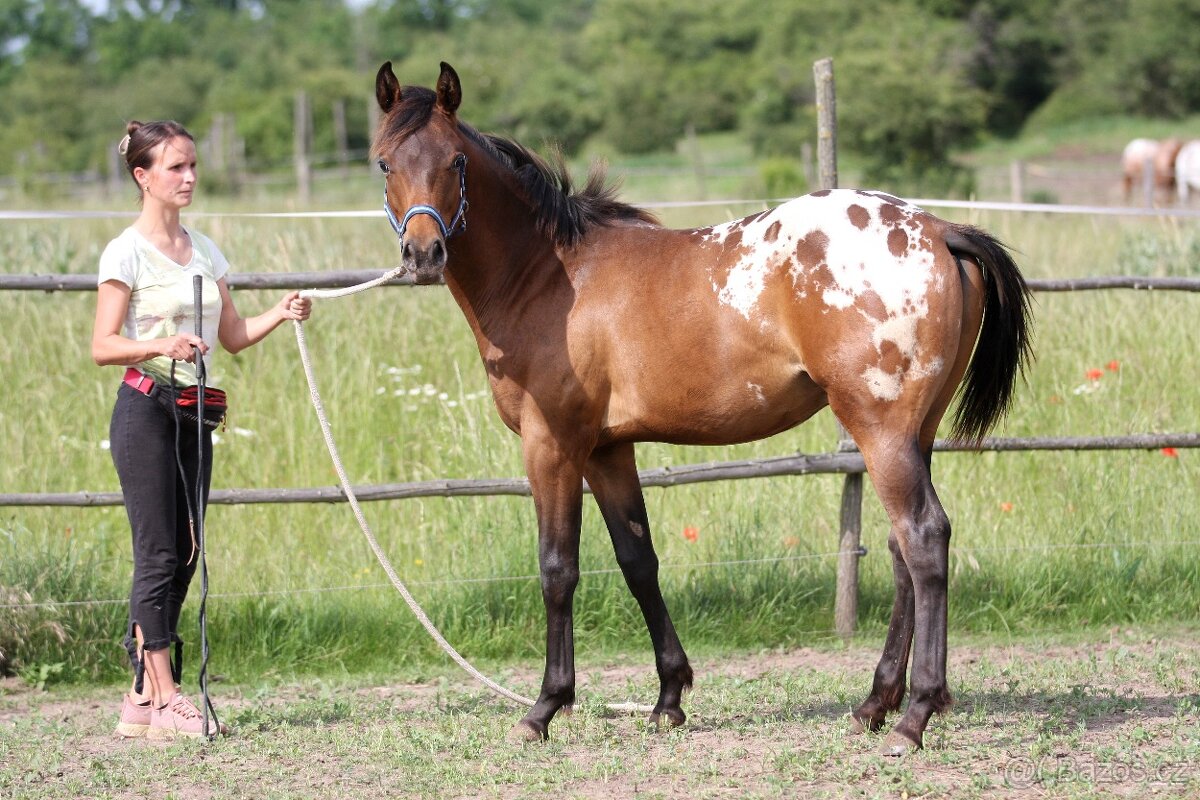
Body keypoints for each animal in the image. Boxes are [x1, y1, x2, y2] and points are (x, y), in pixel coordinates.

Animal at [372, 62, 1032, 758]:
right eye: (384, 162)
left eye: (455, 161)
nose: (423, 254)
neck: (550, 277)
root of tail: (940, 230)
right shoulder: (607, 449)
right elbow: (638, 562)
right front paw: (669, 698)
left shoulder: (551, 444)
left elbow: (558, 569)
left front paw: (545, 707)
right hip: (912, 434)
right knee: (903, 550)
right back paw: (875, 704)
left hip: (880, 431)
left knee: (924, 539)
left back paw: (914, 717)